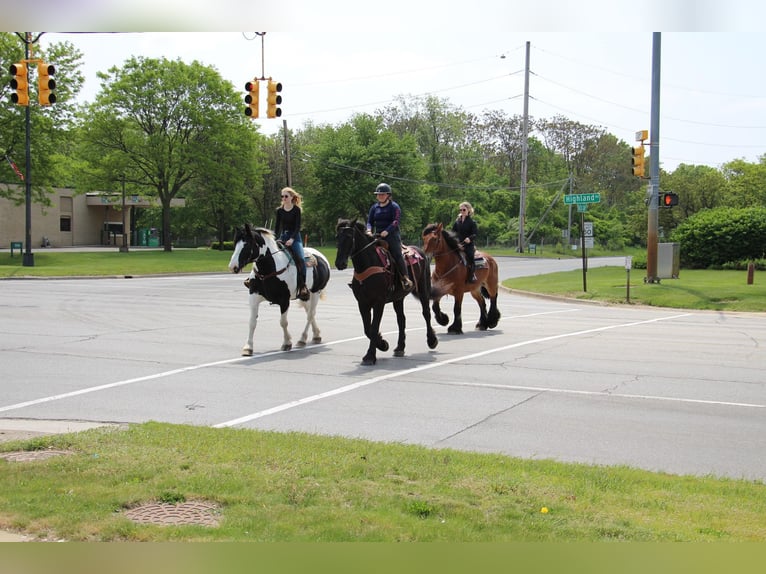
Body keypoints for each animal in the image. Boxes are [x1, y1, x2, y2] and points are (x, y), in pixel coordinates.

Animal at [228, 224, 330, 356]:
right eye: (235, 243)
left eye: (247, 244)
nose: (233, 266)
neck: (269, 270)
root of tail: (322, 257)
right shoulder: (253, 297)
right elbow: (252, 322)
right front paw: (248, 347)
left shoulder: (284, 300)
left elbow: (283, 322)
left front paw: (286, 343)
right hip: (305, 296)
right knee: (309, 312)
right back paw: (316, 335)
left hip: (315, 292)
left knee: (310, 314)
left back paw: (302, 339)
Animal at [334, 218, 438, 366]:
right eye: (338, 237)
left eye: (349, 236)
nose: (339, 263)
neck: (369, 264)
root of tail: (420, 252)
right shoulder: (362, 303)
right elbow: (367, 329)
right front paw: (382, 344)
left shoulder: (379, 303)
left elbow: (373, 327)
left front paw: (370, 356)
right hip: (398, 298)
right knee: (401, 319)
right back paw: (400, 347)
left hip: (423, 289)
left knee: (426, 313)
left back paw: (432, 340)